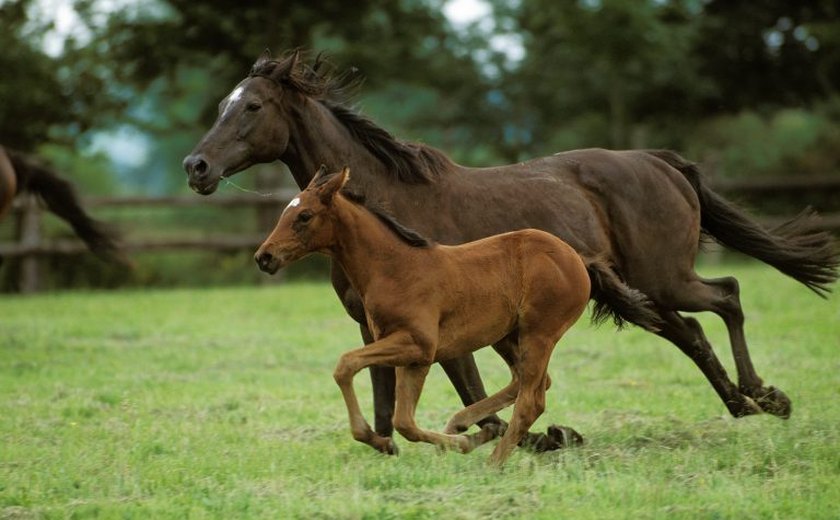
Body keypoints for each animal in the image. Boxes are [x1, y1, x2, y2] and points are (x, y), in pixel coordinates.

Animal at [256, 167, 592, 468]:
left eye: (304, 216)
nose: (264, 257)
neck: (394, 268)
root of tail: (575, 258)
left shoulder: (418, 345)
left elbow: (346, 365)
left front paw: (384, 438)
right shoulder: (412, 358)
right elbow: (403, 421)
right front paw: (455, 440)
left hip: (539, 334)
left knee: (531, 400)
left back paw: (493, 462)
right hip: (508, 336)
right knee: (529, 382)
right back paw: (465, 425)